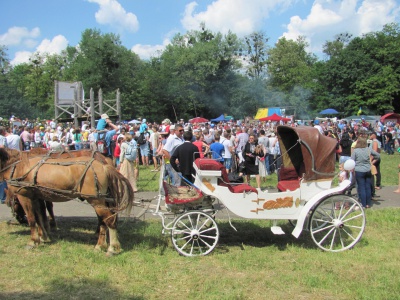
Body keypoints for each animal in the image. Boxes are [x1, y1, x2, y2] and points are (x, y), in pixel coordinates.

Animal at [0, 148, 134, 255]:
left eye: (12, 203)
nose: (18, 220)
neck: (18, 166)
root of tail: (104, 166)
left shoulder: (24, 196)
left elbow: (32, 219)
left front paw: (33, 241)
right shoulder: (36, 197)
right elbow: (39, 217)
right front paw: (43, 237)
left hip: (96, 201)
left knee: (109, 220)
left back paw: (112, 248)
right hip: (101, 200)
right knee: (103, 221)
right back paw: (99, 245)